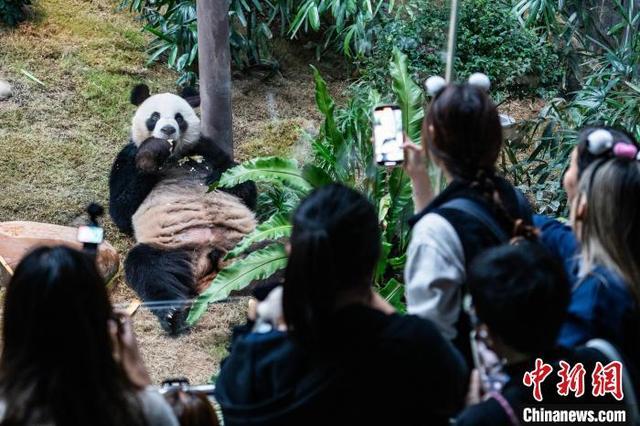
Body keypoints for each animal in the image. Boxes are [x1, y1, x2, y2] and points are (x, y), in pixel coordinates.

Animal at [110, 85, 258, 334]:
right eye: (154, 116)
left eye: (179, 117)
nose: (168, 129)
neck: (175, 158)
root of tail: (210, 260)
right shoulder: (127, 157)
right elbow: (120, 211)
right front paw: (151, 154)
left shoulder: (206, 149)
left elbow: (245, 187)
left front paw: (215, 177)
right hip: (172, 249)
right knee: (151, 270)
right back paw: (172, 314)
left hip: (247, 241)